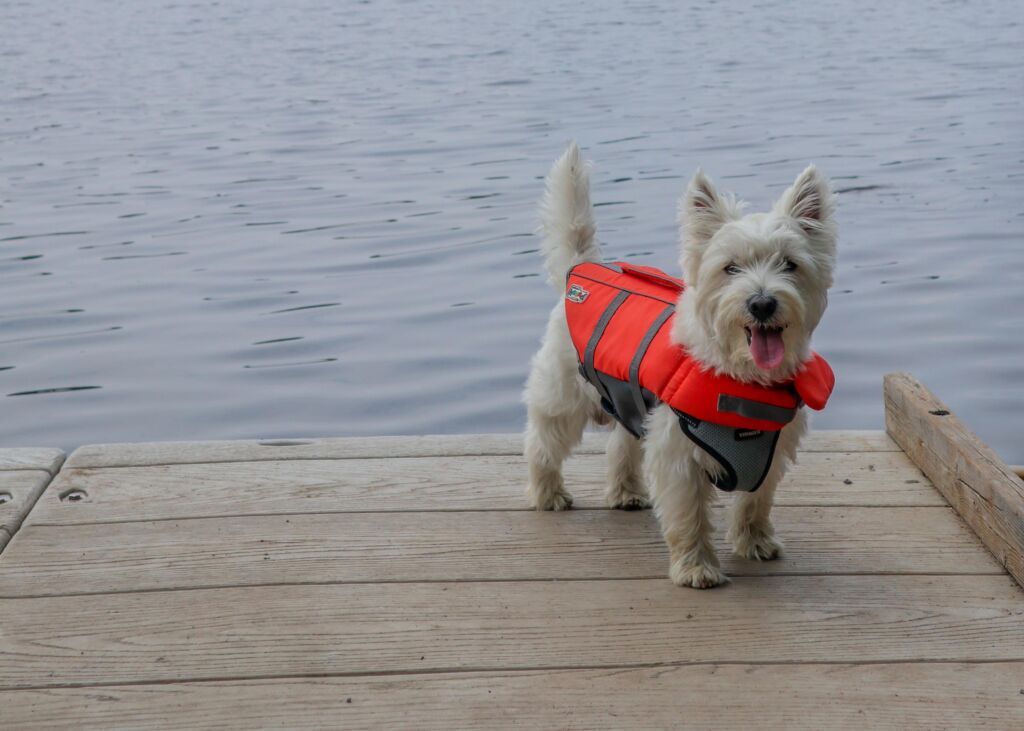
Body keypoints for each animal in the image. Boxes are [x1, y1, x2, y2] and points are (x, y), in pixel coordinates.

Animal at [523, 142, 837, 588]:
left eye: (790, 264)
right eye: (730, 267)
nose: (761, 303)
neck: (741, 375)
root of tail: (581, 267)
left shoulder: (771, 452)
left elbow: (755, 502)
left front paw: (755, 542)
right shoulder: (679, 454)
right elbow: (689, 515)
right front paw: (696, 568)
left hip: (630, 402)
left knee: (622, 446)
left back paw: (626, 492)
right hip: (564, 393)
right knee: (543, 441)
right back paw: (548, 494)